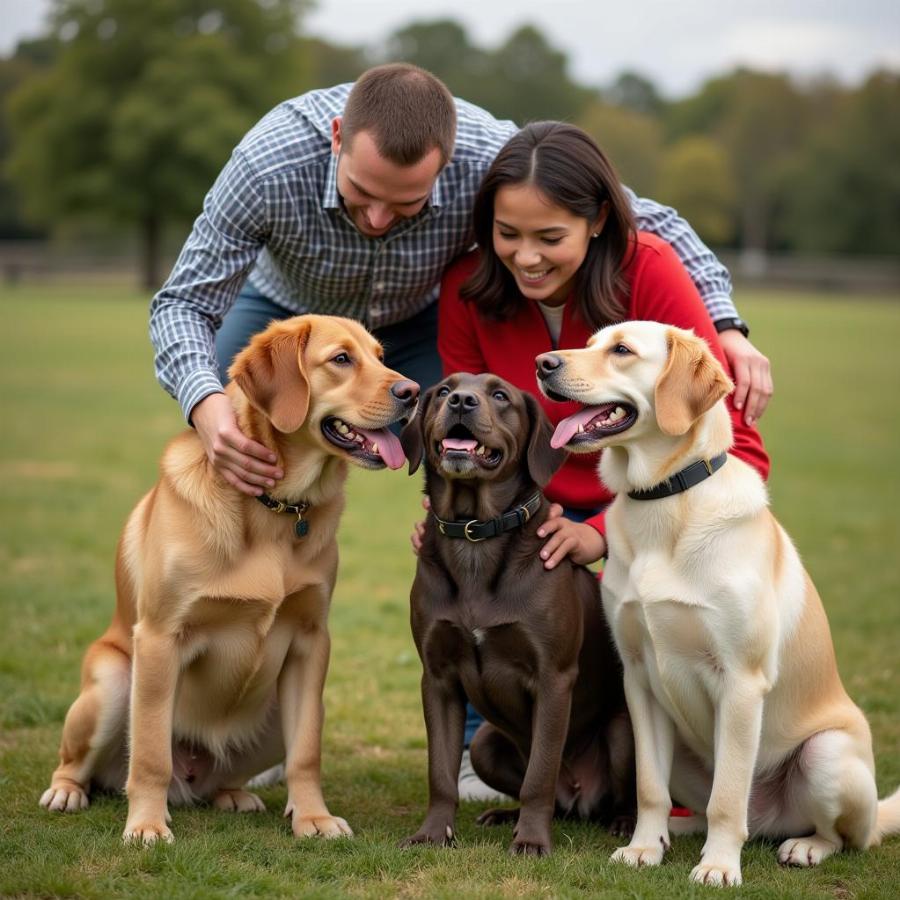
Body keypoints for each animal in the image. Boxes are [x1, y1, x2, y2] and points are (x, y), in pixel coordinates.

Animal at [41, 314, 418, 844]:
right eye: (341, 359)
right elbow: (150, 754)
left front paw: (313, 817)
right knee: (86, 763)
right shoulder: (159, 638)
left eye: (380, 356)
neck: (277, 508)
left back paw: (234, 795)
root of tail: (191, 779)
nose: (414, 391)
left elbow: (308, 753)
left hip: (280, 709)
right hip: (114, 683)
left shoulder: (311, 642)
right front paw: (147, 825)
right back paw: (67, 791)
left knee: (229, 776)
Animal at [536, 324, 896, 884]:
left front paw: (720, 866)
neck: (664, 499)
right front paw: (644, 848)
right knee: (698, 806)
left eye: (622, 350)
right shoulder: (638, 679)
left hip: (826, 754)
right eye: (591, 343)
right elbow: (649, 787)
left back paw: (805, 846)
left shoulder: (742, 683)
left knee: (841, 835)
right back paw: (677, 829)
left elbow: (727, 798)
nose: (543, 363)